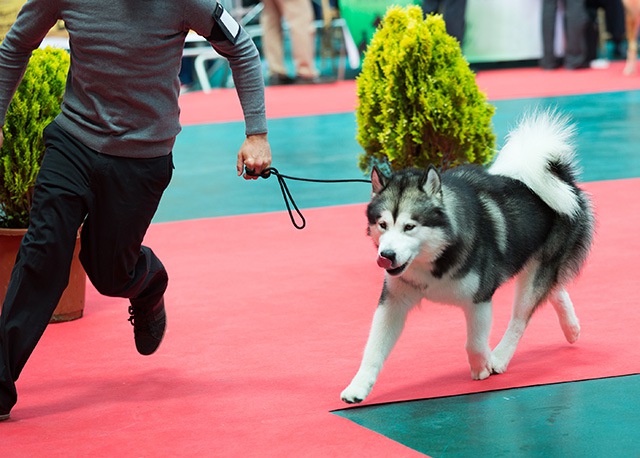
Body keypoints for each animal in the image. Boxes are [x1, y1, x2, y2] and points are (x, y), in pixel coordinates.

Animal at [340, 111, 596, 404]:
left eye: (409, 226)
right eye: (382, 225)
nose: (386, 256)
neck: (436, 257)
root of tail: (563, 177)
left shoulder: (479, 298)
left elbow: (474, 342)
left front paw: (482, 366)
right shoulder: (393, 301)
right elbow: (373, 348)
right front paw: (358, 387)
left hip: (536, 270)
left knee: (522, 316)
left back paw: (500, 357)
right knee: (555, 289)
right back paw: (572, 328)